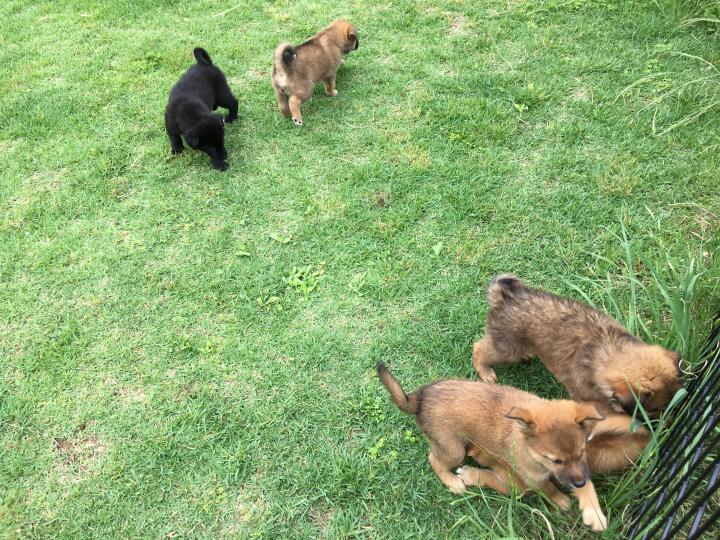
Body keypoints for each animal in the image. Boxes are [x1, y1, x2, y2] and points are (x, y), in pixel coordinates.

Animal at [377, 364, 608, 531]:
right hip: (454, 450)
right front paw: (560, 500)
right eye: (555, 460)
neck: (528, 448)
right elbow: (547, 488)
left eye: (582, 452)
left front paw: (594, 513)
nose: (579, 482)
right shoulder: (532, 478)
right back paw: (452, 481)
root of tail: (420, 398)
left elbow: (585, 484)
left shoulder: (578, 469)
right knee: (434, 459)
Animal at [472, 274, 682, 472]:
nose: (669, 420)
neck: (606, 350)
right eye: (652, 409)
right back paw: (486, 372)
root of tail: (504, 297)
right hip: (508, 349)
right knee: (480, 348)